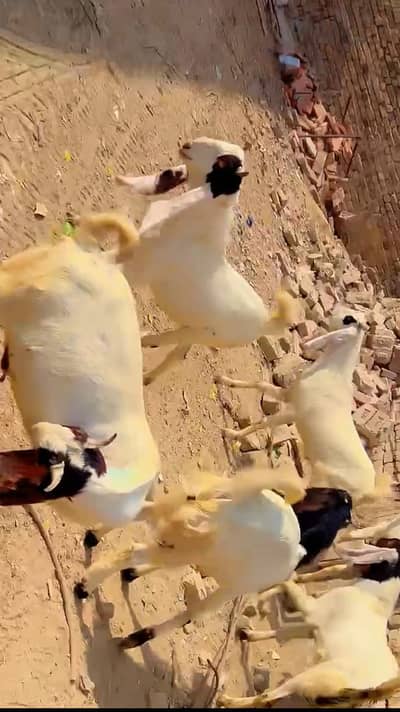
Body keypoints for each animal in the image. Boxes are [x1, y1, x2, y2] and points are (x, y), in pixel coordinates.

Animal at [74, 463, 309, 645]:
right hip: (188, 546)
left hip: (174, 524)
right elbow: (194, 613)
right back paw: (86, 587)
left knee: (139, 516)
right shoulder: (229, 585)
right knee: (135, 550)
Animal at [116, 137, 298, 384]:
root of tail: (265, 323)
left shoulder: (143, 264)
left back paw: (145, 353)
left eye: (222, 163)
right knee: (178, 353)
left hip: (198, 332)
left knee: (175, 349)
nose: (187, 144)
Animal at [218, 306, 383, 504]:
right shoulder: (288, 395)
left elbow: (264, 422)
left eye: (348, 319)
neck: (332, 372)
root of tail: (367, 491)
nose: (331, 311)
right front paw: (221, 379)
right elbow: (260, 384)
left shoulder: (293, 412)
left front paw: (229, 433)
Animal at [219, 572, 400, 708]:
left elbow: (286, 583)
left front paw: (261, 604)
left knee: (266, 698)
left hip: (310, 678)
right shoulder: (313, 626)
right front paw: (248, 634)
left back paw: (225, 699)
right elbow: (283, 631)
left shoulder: (310, 608)